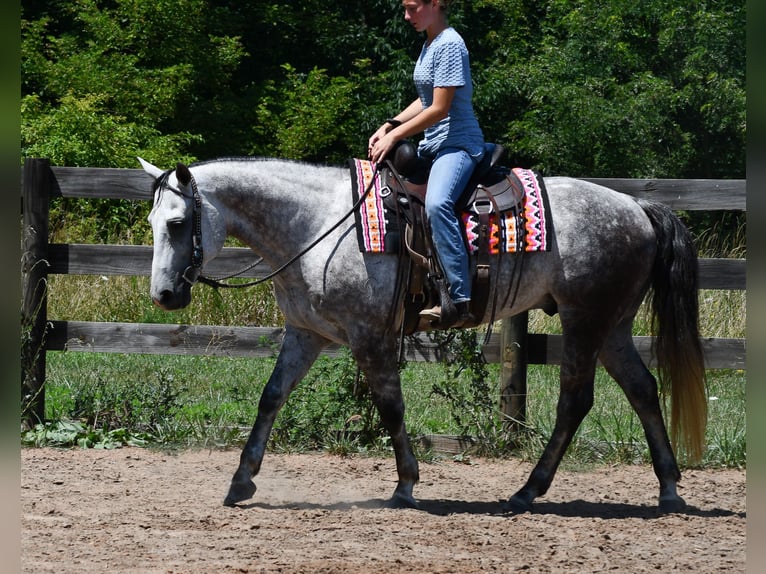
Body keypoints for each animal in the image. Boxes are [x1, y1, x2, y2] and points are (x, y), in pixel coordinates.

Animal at [139, 155, 707, 514]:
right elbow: (271, 397)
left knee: (575, 400)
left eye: (176, 223)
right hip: (613, 326)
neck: (315, 224)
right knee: (642, 389)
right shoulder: (306, 333)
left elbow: (390, 407)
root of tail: (638, 209)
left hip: (583, 320)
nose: (164, 295)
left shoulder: (368, 336)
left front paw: (406, 485)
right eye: (151, 222)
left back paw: (527, 492)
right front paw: (241, 481)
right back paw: (668, 489)